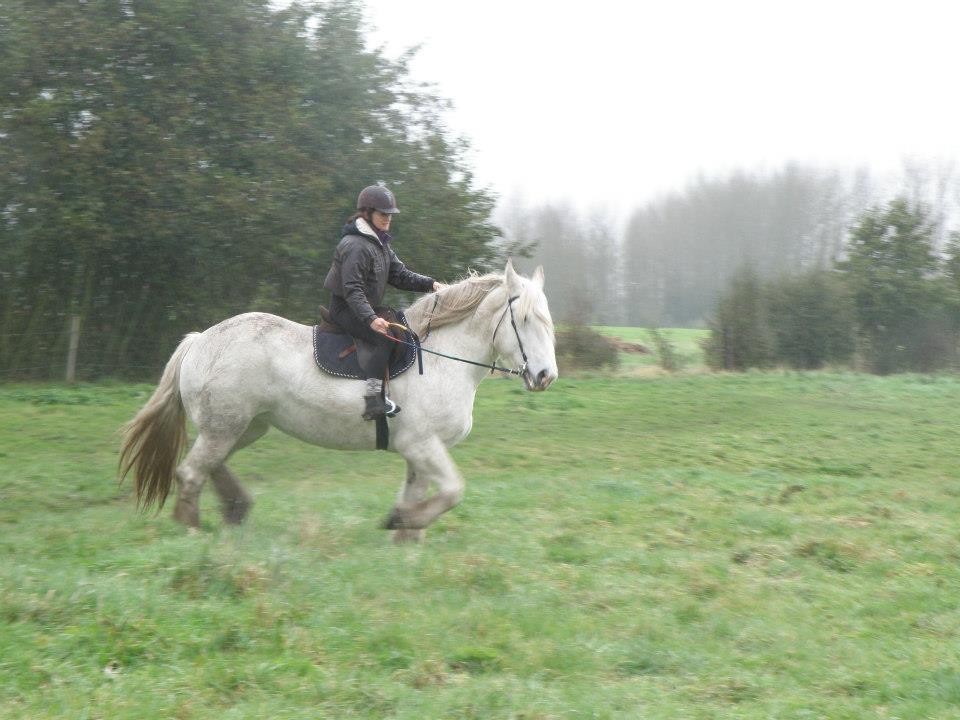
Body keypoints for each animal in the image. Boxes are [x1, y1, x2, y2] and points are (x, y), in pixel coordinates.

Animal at [118, 260, 558, 542]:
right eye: (524, 319)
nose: (545, 376)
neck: (441, 358)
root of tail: (199, 341)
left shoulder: (419, 451)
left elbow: (421, 494)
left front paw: (406, 537)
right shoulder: (422, 445)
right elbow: (453, 491)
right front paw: (399, 521)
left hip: (243, 426)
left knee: (211, 464)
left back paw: (235, 508)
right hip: (225, 427)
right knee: (191, 473)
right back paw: (193, 531)